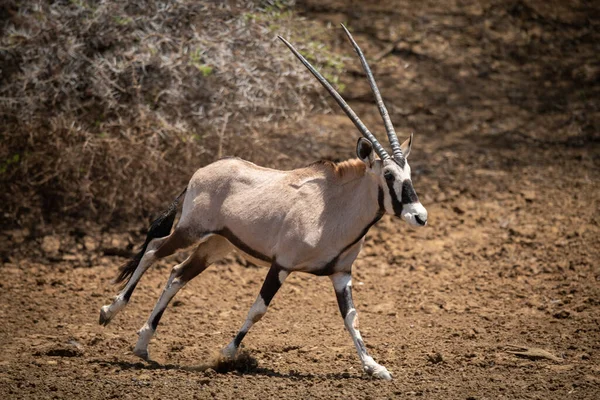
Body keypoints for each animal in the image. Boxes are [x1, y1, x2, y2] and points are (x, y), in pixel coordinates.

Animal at [98, 25, 426, 382]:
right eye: (389, 176)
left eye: (409, 173)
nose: (419, 216)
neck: (334, 208)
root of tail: (201, 172)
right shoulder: (281, 264)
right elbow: (259, 308)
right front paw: (227, 353)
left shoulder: (341, 273)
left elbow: (351, 316)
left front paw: (374, 366)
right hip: (191, 230)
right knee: (155, 250)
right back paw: (109, 312)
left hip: (217, 244)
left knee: (177, 274)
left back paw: (142, 344)